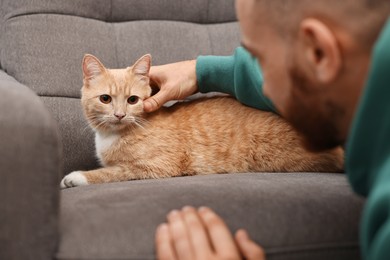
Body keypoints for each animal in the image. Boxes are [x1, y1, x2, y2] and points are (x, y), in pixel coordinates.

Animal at [59, 54, 342, 189]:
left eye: (132, 100)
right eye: (105, 99)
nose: (119, 115)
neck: (113, 136)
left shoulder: (157, 166)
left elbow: (113, 172)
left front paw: (77, 177)